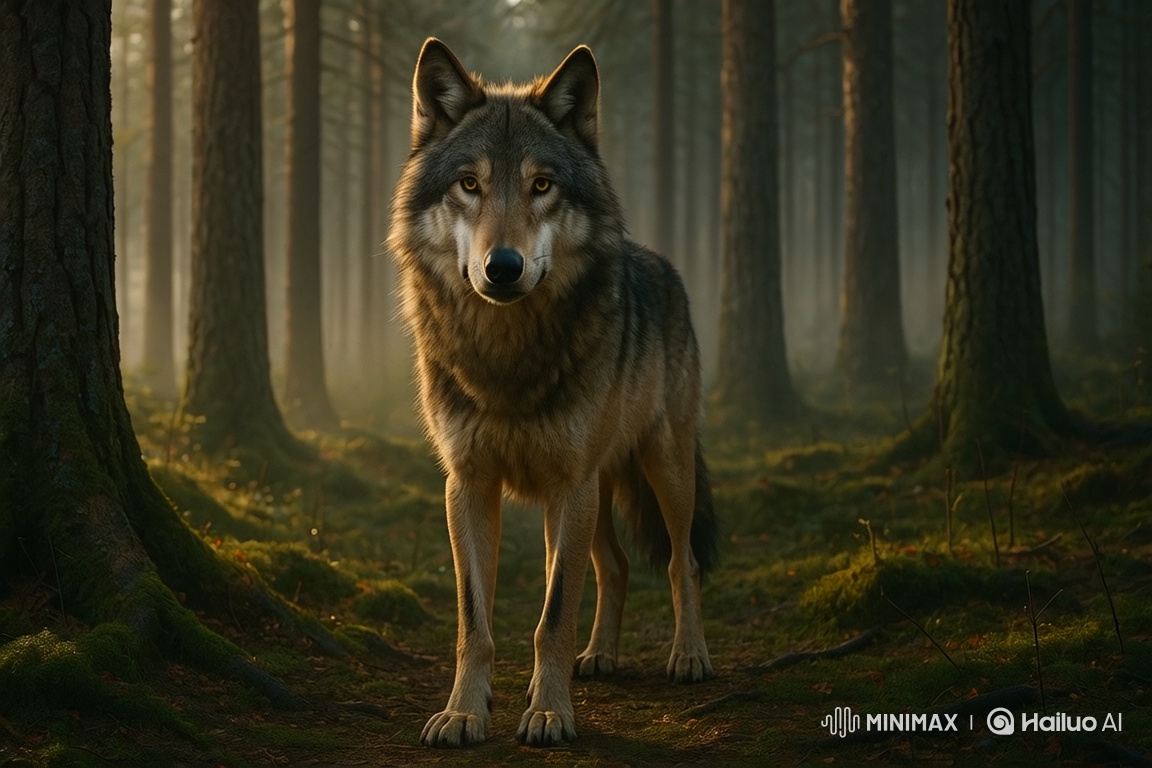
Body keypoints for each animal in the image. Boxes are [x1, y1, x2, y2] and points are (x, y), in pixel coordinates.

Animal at [388, 38, 718, 748]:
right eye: (470, 184)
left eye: (542, 185)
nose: (503, 267)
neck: (507, 357)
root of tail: (662, 263)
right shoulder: (468, 484)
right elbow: (476, 620)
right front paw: (464, 713)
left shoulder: (571, 483)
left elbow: (554, 612)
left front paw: (547, 713)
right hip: (590, 492)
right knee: (614, 565)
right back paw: (599, 656)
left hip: (660, 469)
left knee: (681, 562)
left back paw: (689, 655)